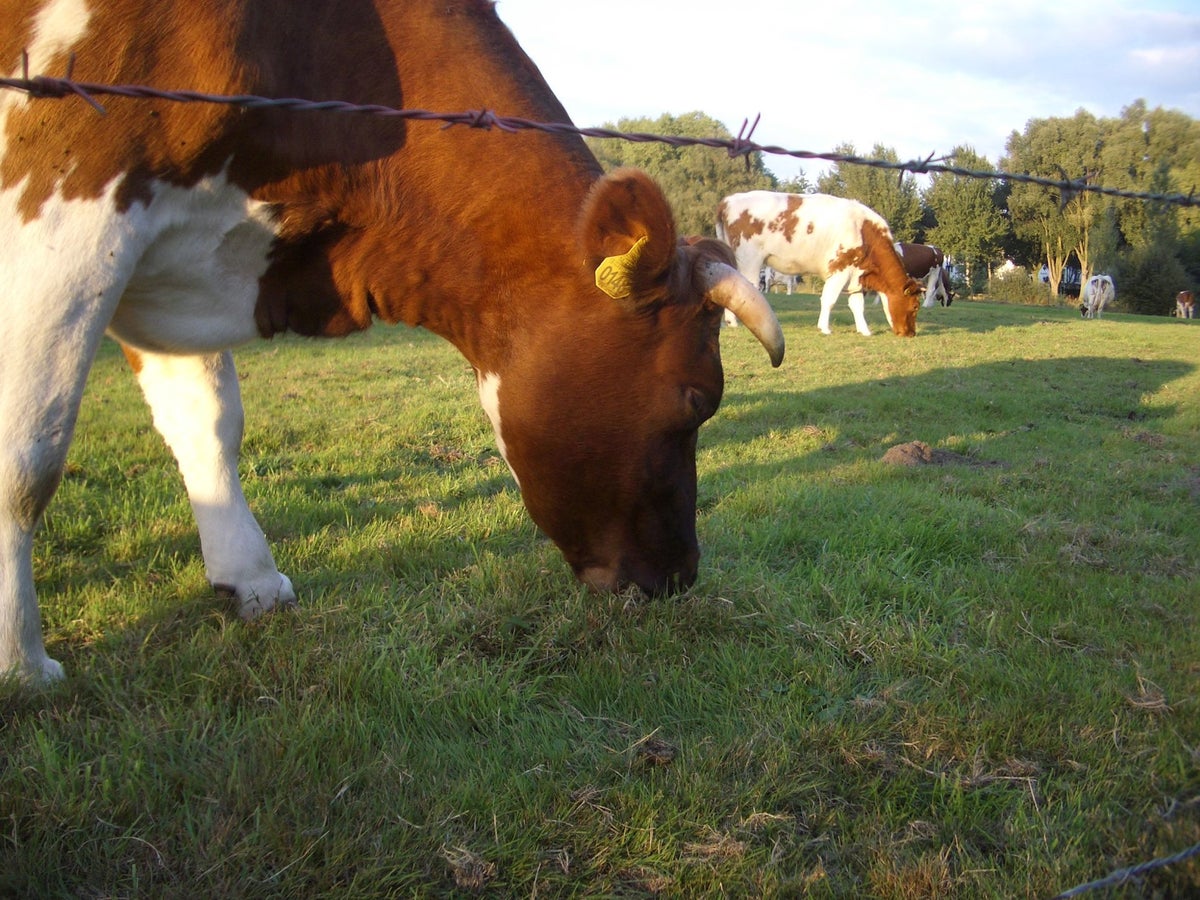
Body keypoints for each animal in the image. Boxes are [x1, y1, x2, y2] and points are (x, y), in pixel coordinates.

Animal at [0, 0, 785, 683]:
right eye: (697, 401)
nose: (681, 576)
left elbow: (208, 423)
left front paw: (251, 579)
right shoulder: (68, 209)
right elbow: (26, 458)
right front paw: (23, 665)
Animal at [716, 192, 922, 337]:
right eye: (915, 306)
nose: (911, 333)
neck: (863, 231)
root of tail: (729, 200)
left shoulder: (856, 275)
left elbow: (857, 304)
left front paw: (864, 331)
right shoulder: (840, 269)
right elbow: (829, 299)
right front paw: (824, 328)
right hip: (749, 260)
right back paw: (734, 322)